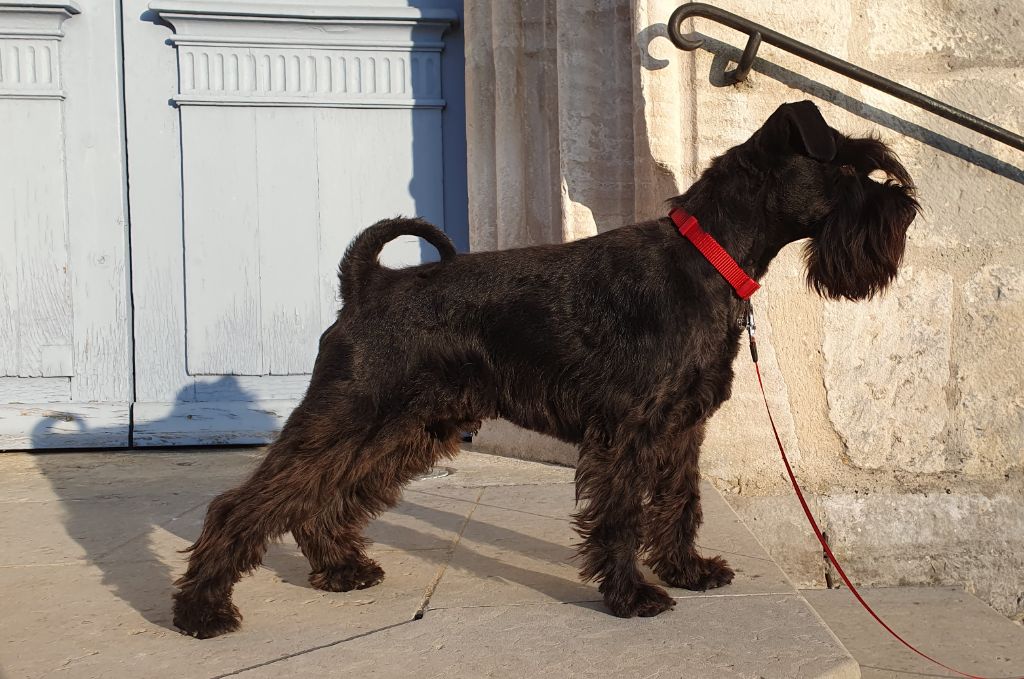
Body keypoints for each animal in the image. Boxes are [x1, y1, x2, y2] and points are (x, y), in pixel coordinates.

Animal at [172, 101, 918, 638]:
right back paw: (202, 609)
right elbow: (621, 515)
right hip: (349, 413)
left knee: (323, 494)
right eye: (849, 170)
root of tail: (366, 283)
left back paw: (339, 567)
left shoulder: (681, 428)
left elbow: (680, 503)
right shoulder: (629, 432)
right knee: (249, 500)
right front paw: (634, 594)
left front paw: (687, 569)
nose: (907, 208)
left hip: (402, 429)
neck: (706, 259)